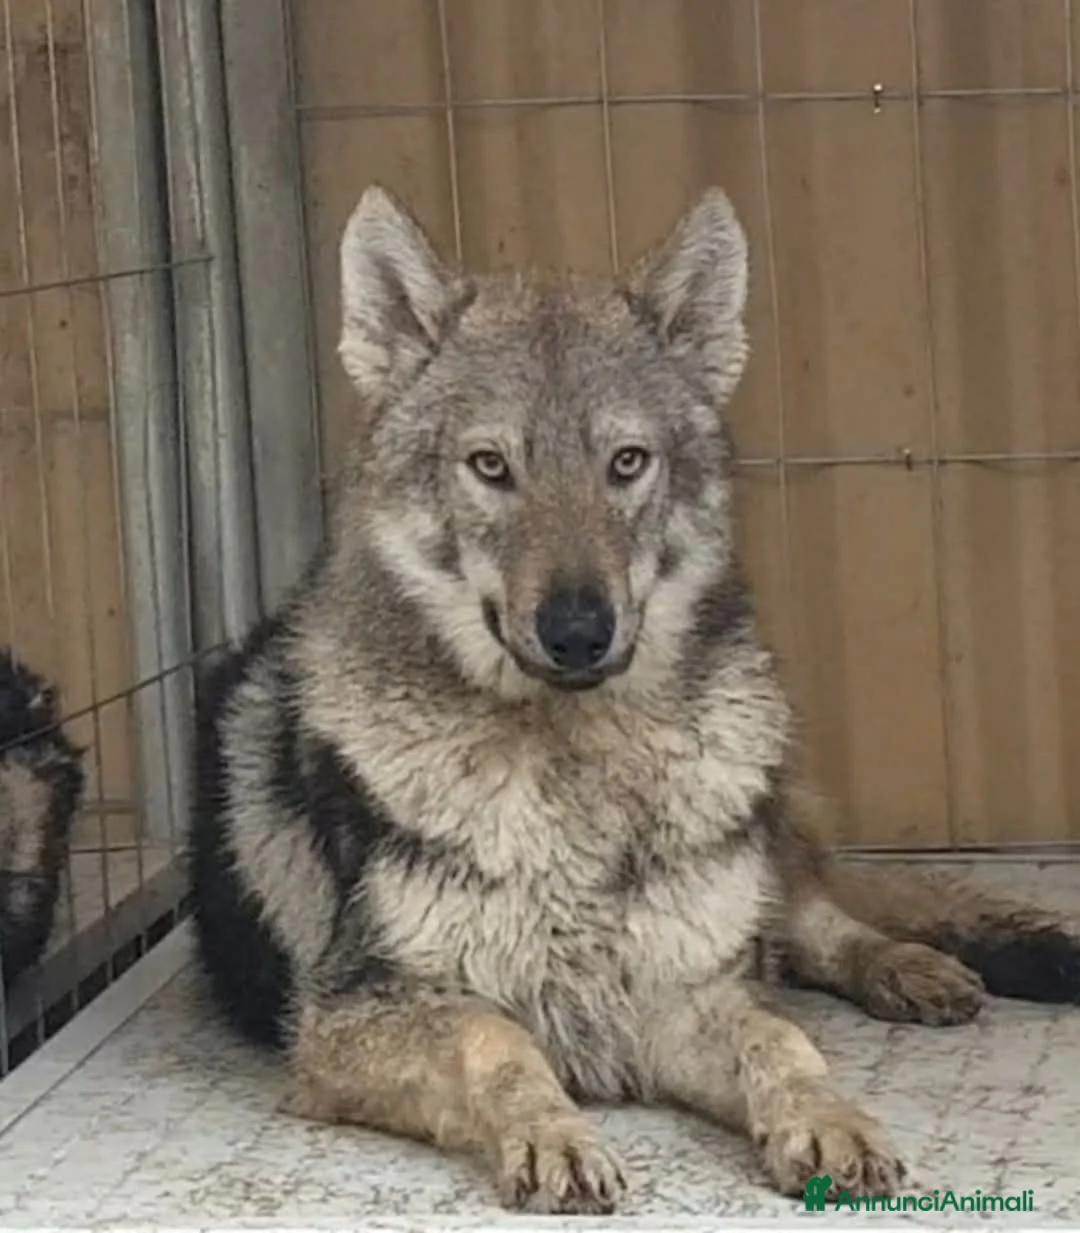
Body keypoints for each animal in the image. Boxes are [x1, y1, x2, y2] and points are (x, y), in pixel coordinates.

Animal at [188, 185, 1080, 1215]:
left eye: (626, 462)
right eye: (491, 466)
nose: (579, 629)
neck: (576, 773)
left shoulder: (681, 992)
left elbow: (781, 1038)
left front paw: (830, 1119)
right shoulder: (351, 1021)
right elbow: (496, 1039)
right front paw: (554, 1138)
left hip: (754, 857)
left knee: (818, 924)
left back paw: (915, 967)